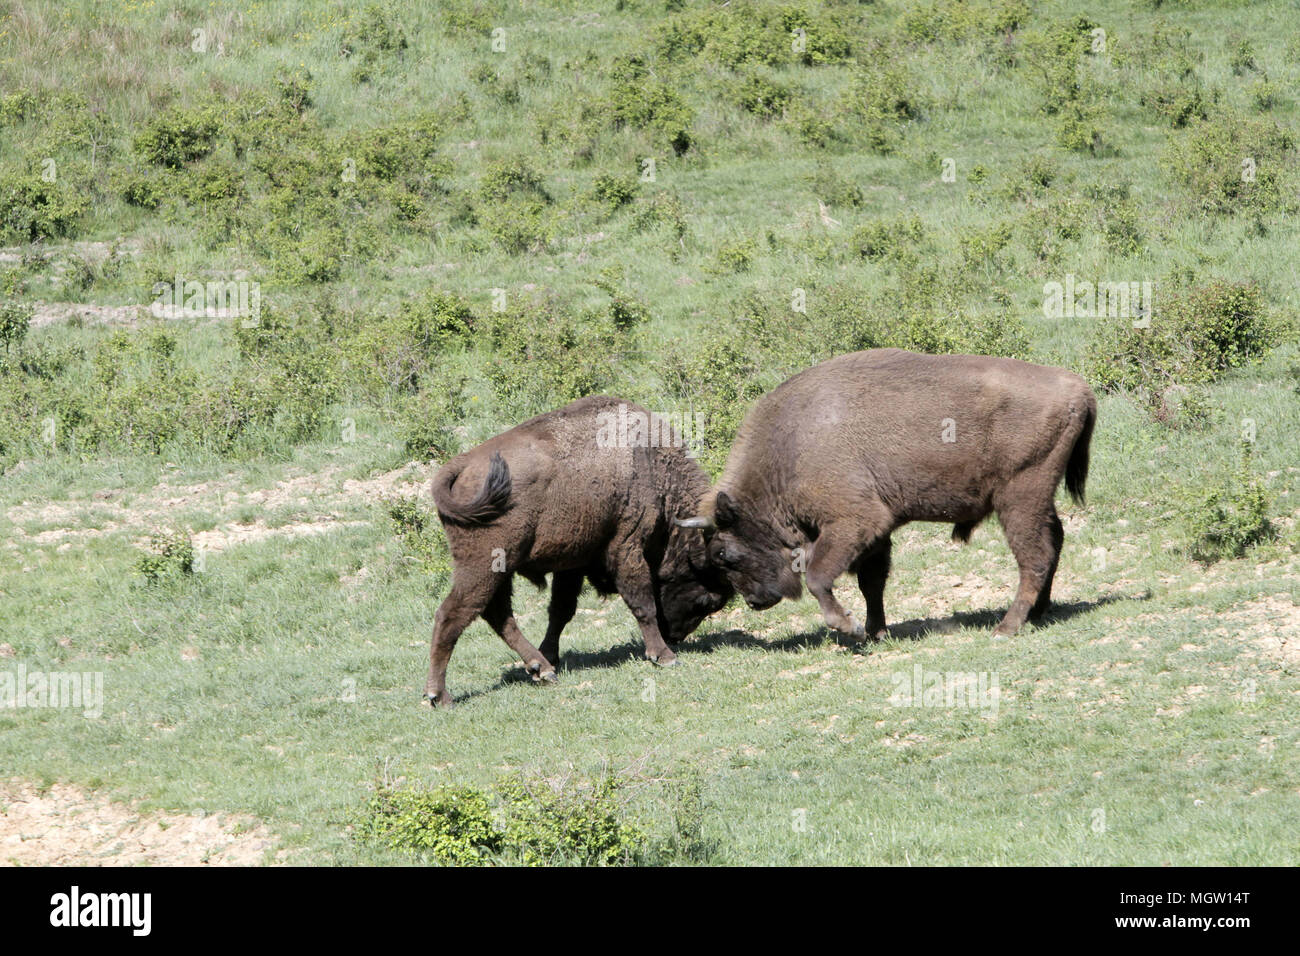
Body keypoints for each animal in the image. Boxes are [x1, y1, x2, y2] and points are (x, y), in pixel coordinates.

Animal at [423, 395, 732, 707]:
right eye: (707, 600)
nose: (674, 637)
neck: (650, 461)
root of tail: (461, 465)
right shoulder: (626, 547)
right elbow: (642, 603)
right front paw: (664, 656)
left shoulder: (572, 564)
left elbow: (561, 610)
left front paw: (551, 655)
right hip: (483, 567)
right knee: (452, 615)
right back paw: (439, 695)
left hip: (499, 570)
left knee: (497, 615)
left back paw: (541, 668)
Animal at [679, 349, 1097, 640]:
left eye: (724, 554)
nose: (755, 602)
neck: (790, 446)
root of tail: (1080, 388)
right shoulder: (877, 532)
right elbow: (872, 582)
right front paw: (876, 631)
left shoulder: (854, 522)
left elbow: (818, 576)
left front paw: (847, 627)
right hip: (1037, 498)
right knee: (1054, 542)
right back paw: (1039, 612)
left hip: (1019, 497)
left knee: (1035, 557)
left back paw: (1007, 627)